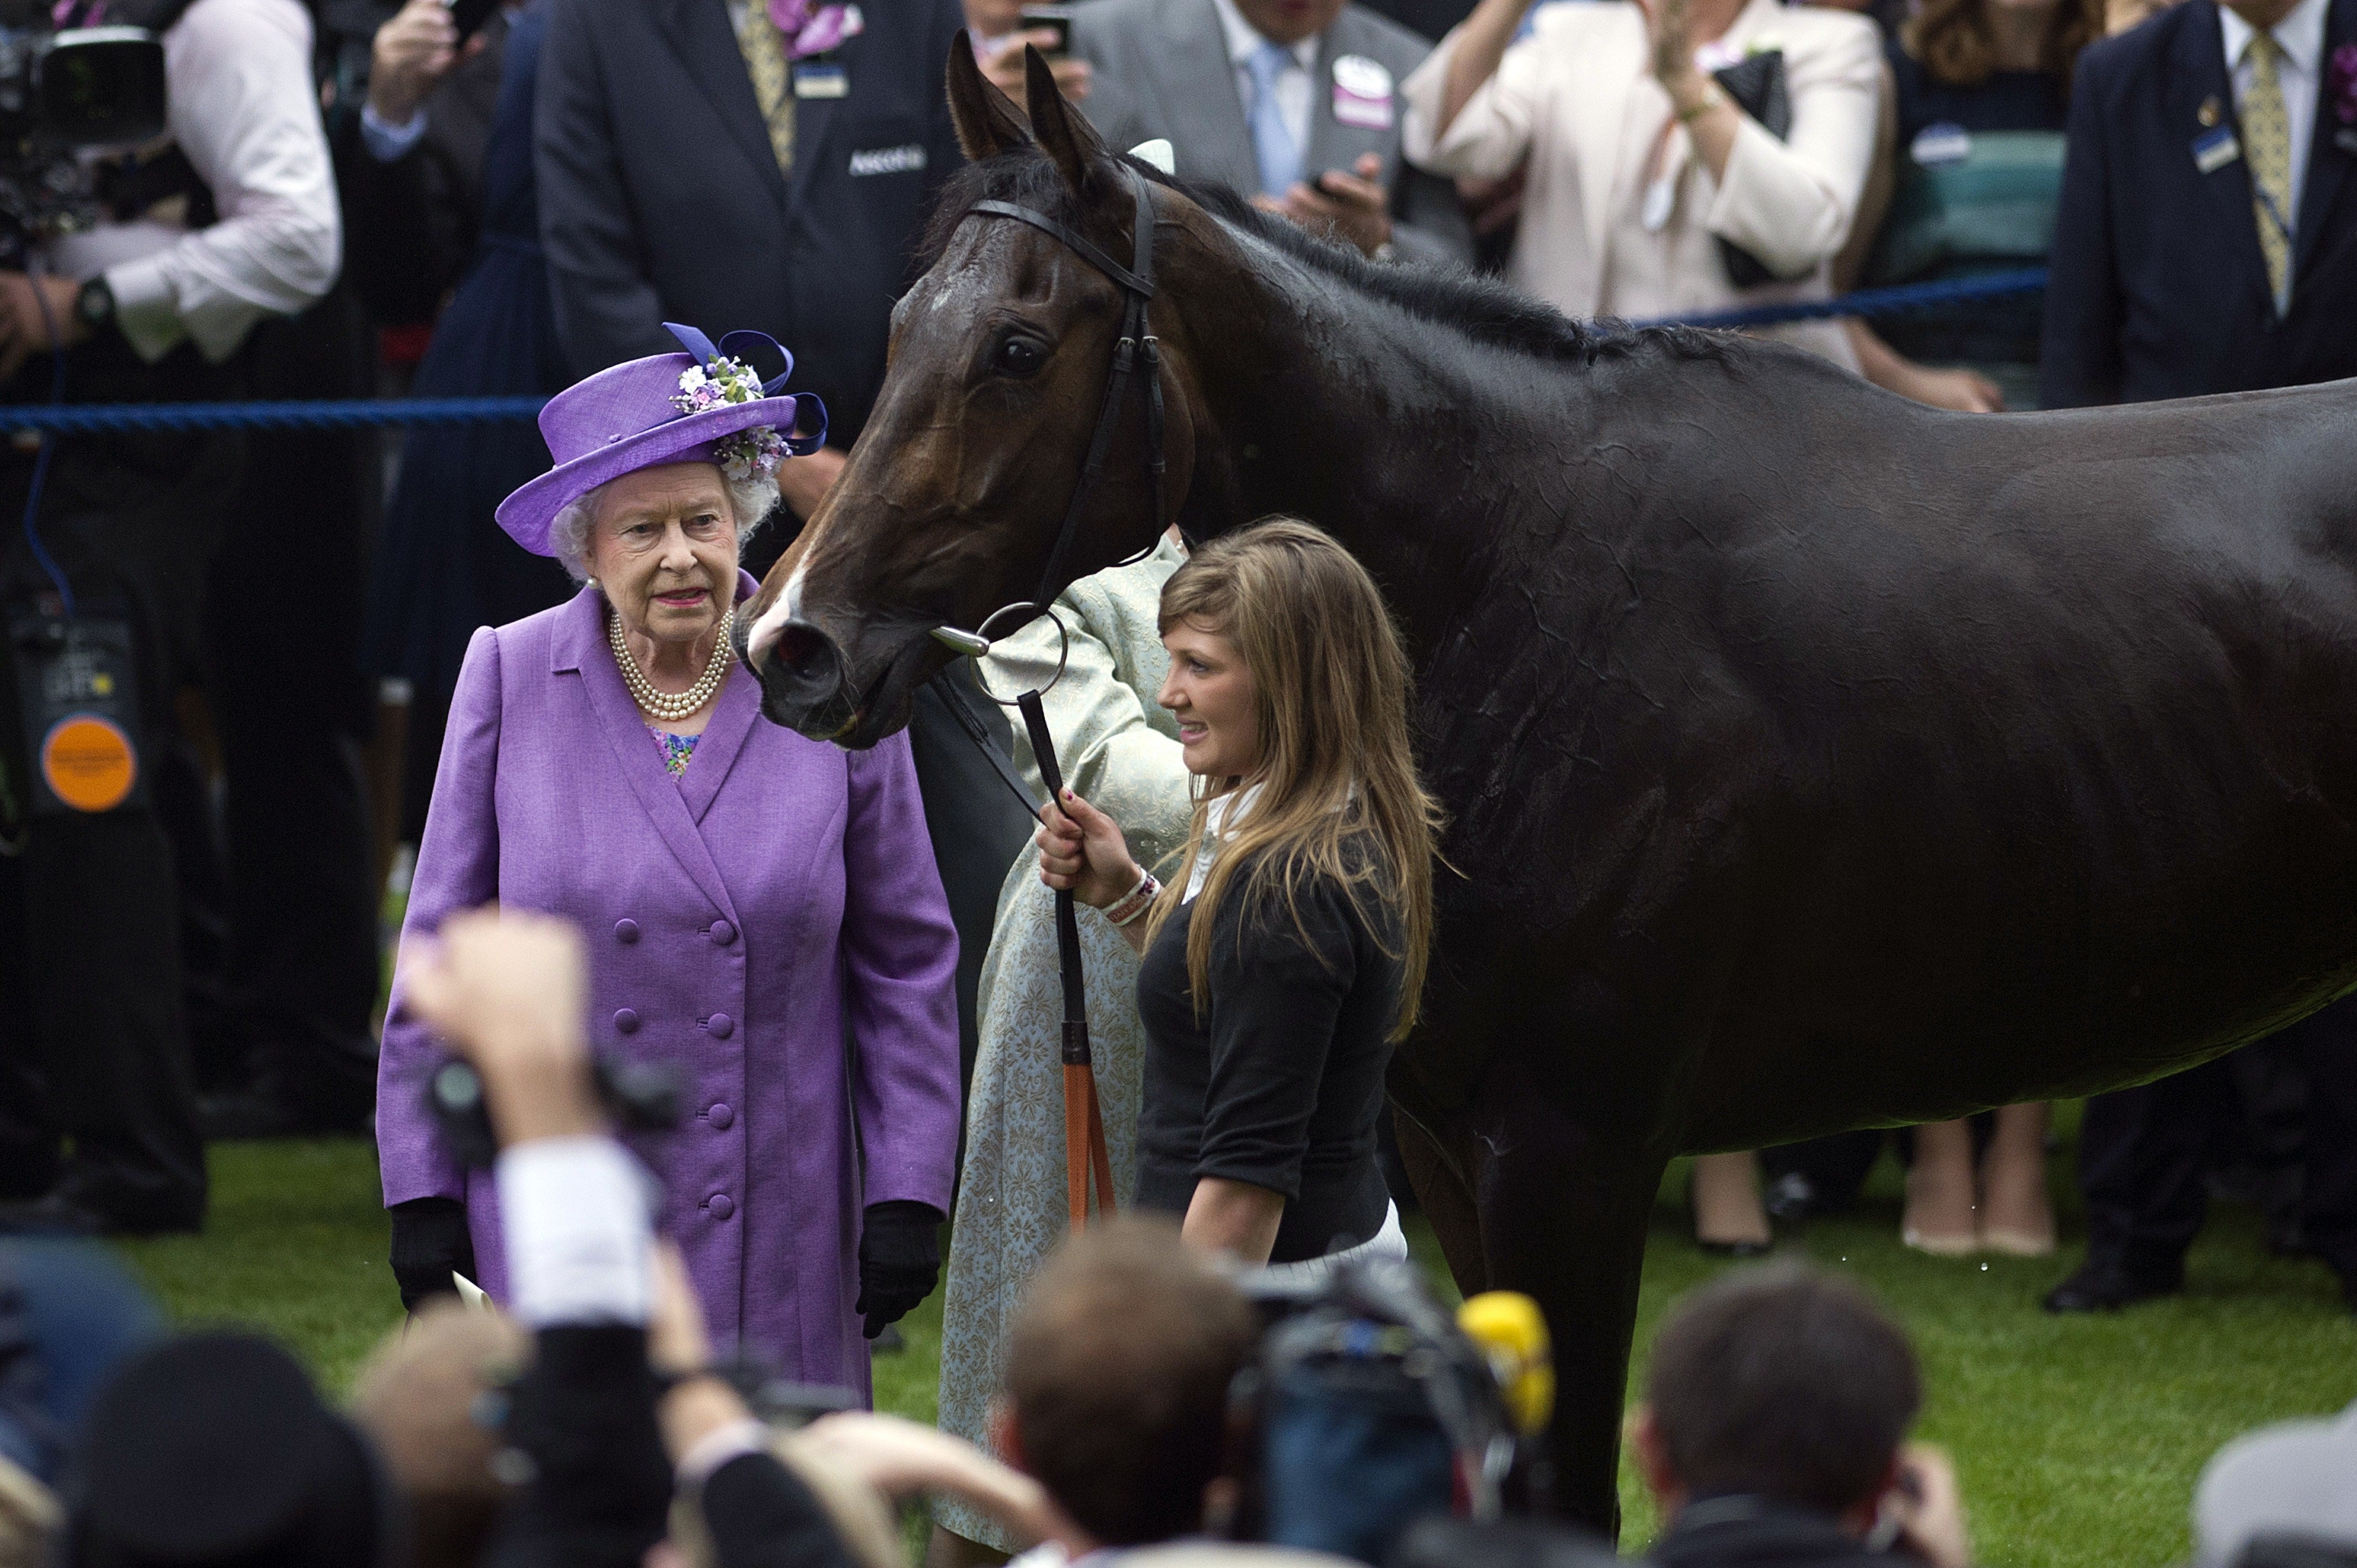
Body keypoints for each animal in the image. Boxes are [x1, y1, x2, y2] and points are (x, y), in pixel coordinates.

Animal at [745, 51, 2357, 1528]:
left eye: (1019, 346)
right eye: (901, 326)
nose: (795, 645)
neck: (1525, 579)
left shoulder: (1574, 1153)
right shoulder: (1446, 1149)